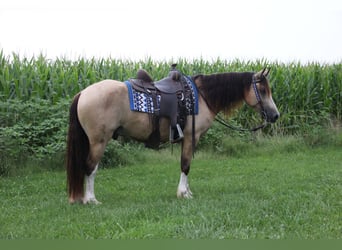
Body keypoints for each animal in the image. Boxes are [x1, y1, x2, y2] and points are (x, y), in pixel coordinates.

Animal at [65, 65, 280, 204]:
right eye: (262, 89)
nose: (275, 115)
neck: (202, 96)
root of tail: (83, 93)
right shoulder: (191, 137)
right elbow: (186, 165)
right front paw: (183, 194)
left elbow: (187, 164)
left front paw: (188, 191)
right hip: (98, 141)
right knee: (90, 167)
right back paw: (91, 199)